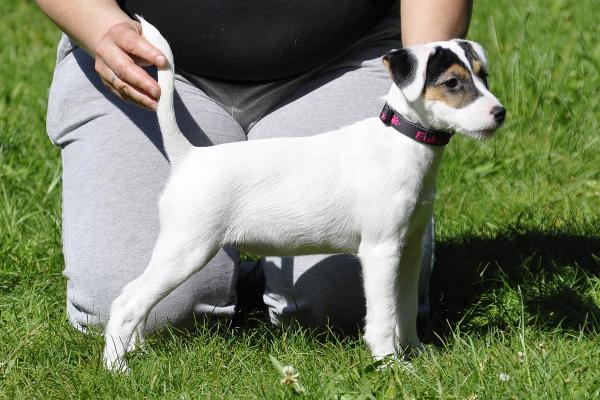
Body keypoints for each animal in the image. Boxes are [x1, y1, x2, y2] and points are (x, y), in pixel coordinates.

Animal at [103, 16, 506, 372]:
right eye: (452, 83)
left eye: (482, 76)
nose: (500, 112)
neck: (401, 142)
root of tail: (189, 156)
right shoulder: (381, 251)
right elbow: (382, 317)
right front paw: (390, 365)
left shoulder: (408, 249)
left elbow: (404, 311)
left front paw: (417, 356)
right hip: (188, 249)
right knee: (127, 303)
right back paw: (117, 368)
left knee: (130, 295)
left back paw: (134, 350)